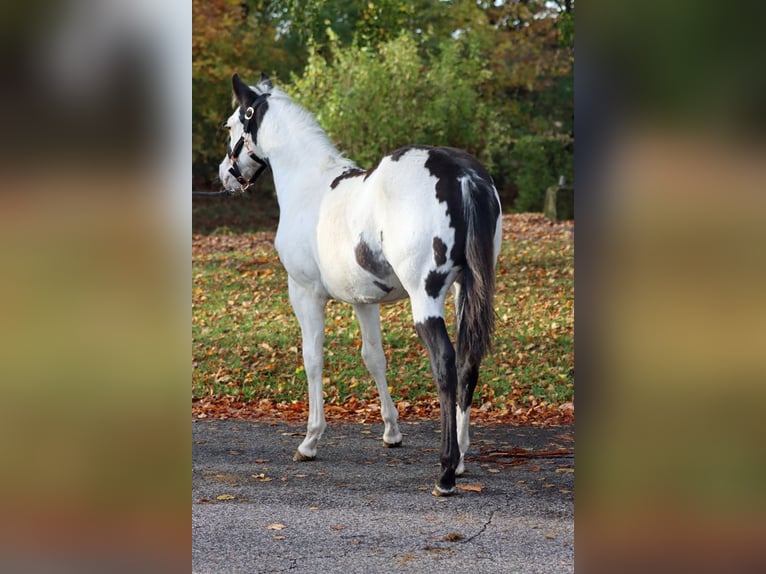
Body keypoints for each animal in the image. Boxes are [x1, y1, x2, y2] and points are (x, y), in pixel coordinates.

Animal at [218, 73, 502, 496]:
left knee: (445, 363)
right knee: (469, 362)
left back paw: (446, 472)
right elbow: (374, 358)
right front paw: (391, 431)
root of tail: (464, 175)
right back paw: (464, 458)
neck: (311, 186)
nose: (225, 175)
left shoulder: (305, 294)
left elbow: (313, 359)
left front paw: (310, 440)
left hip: (427, 298)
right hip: (464, 292)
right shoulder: (363, 301)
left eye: (231, 126)